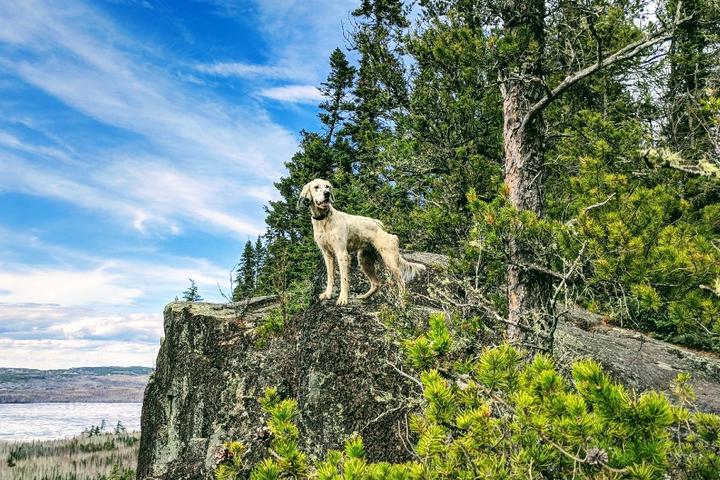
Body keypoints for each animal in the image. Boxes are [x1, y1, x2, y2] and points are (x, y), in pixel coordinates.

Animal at [296, 178, 424, 306]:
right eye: (316, 187)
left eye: (327, 187)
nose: (327, 194)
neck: (324, 220)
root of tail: (380, 227)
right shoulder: (327, 254)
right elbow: (330, 277)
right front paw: (327, 294)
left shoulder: (342, 253)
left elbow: (344, 279)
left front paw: (342, 299)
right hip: (364, 260)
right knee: (377, 283)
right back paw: (364, 297)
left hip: (390, 260)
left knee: (401, 282)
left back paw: (402, 302)